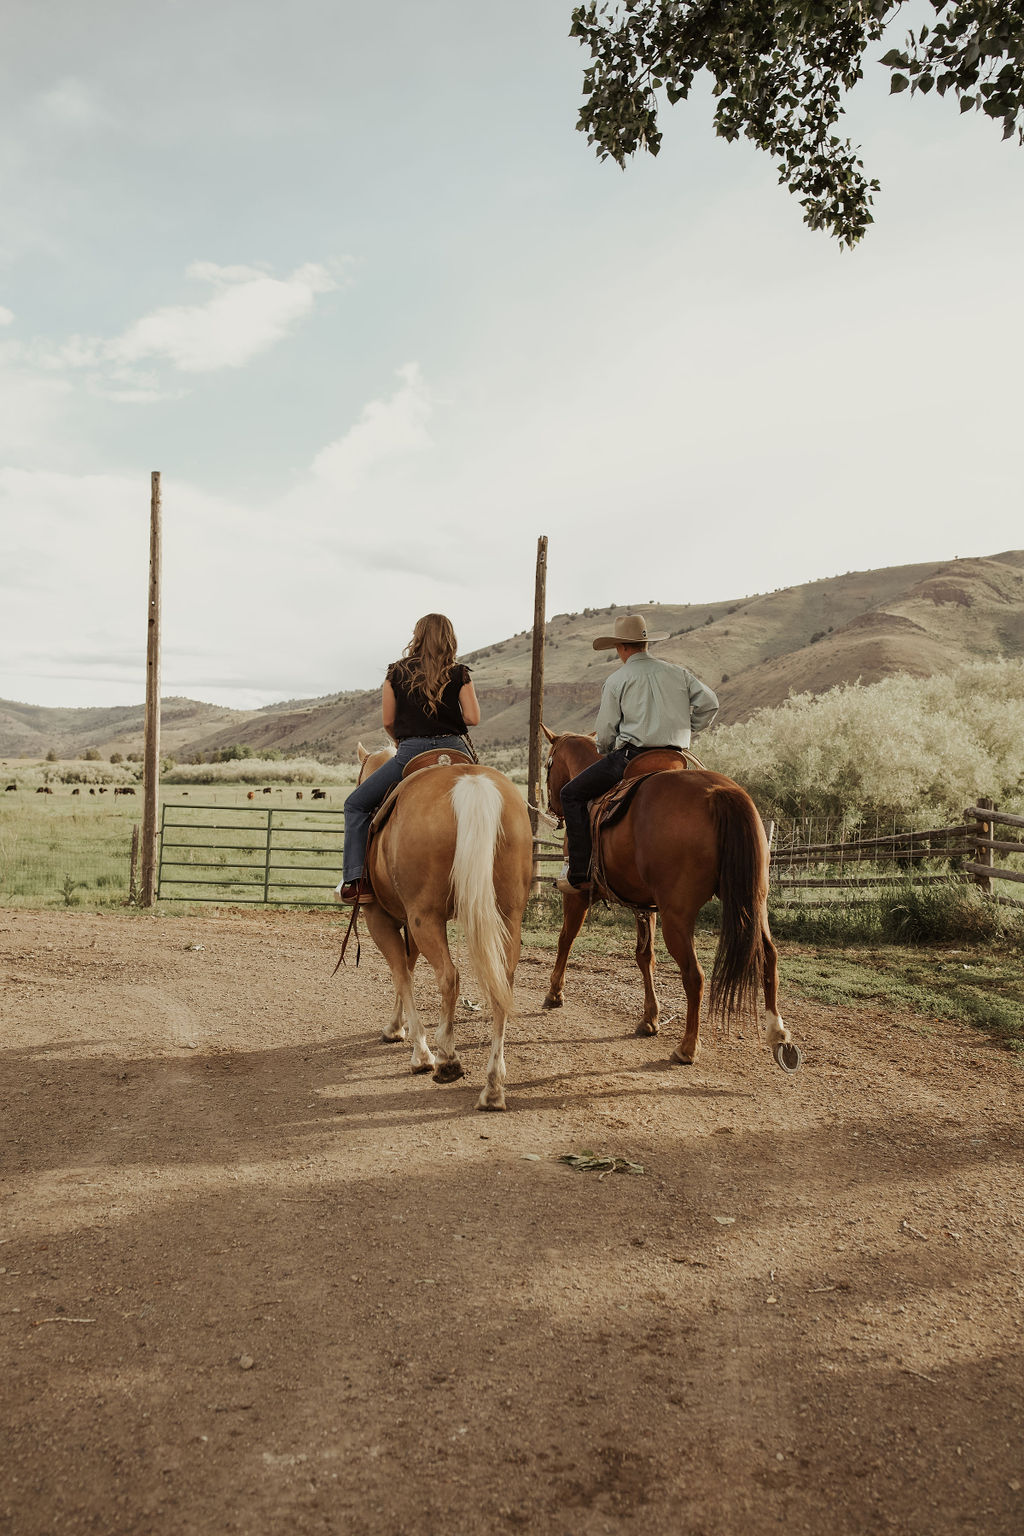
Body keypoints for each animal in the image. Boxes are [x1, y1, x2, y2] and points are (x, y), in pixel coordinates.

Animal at [353, 740, 534, 1105]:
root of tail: (471, 783)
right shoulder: (409, 923)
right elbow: (406, 968)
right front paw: (397, 1027)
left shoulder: (381, 918)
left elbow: (400, 973)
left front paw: (418, 1051)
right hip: (507, 916)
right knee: (502, 982)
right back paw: (493, 1085)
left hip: (426, 919)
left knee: (449, 977)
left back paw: (447, 1058)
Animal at [543, 728, 798, 1069]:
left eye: (548, 765)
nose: (552, 806)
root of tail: (719, 792)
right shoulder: (644, 905)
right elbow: (644, 956)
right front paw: (649, 1019)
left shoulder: (579, 895)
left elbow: (565, 939)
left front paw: (554, 993)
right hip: (755, 902)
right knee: (769, 957)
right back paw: (777, 1034)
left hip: (677, 916)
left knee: (694, 975)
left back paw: (688, 1047)